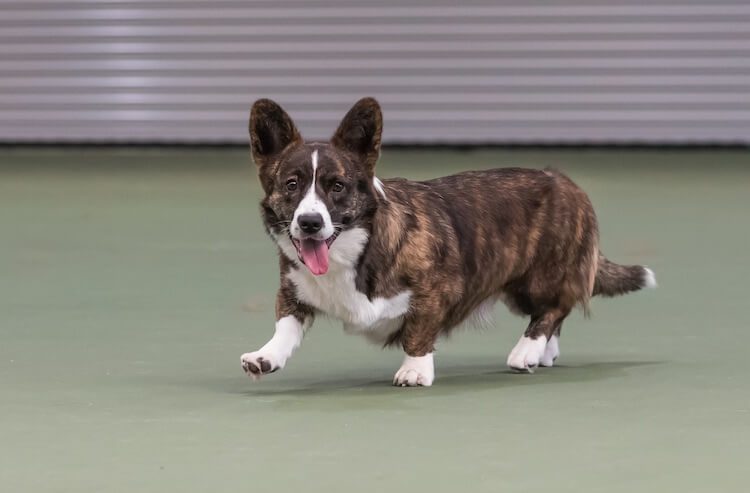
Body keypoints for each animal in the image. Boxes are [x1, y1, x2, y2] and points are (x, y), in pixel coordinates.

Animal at [242, 98, 656, 386]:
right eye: (291, 185)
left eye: (337, 186)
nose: (310, 223)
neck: (354, 252)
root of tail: (569, 183)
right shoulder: (294, 294)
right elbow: (285, 327)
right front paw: (265, 357)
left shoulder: (438, 292)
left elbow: (419, 332)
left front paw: (415, 370)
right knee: (556, 312)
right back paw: (543, 352)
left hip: (539, 278)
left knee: (554, 308)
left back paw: (527, 351)